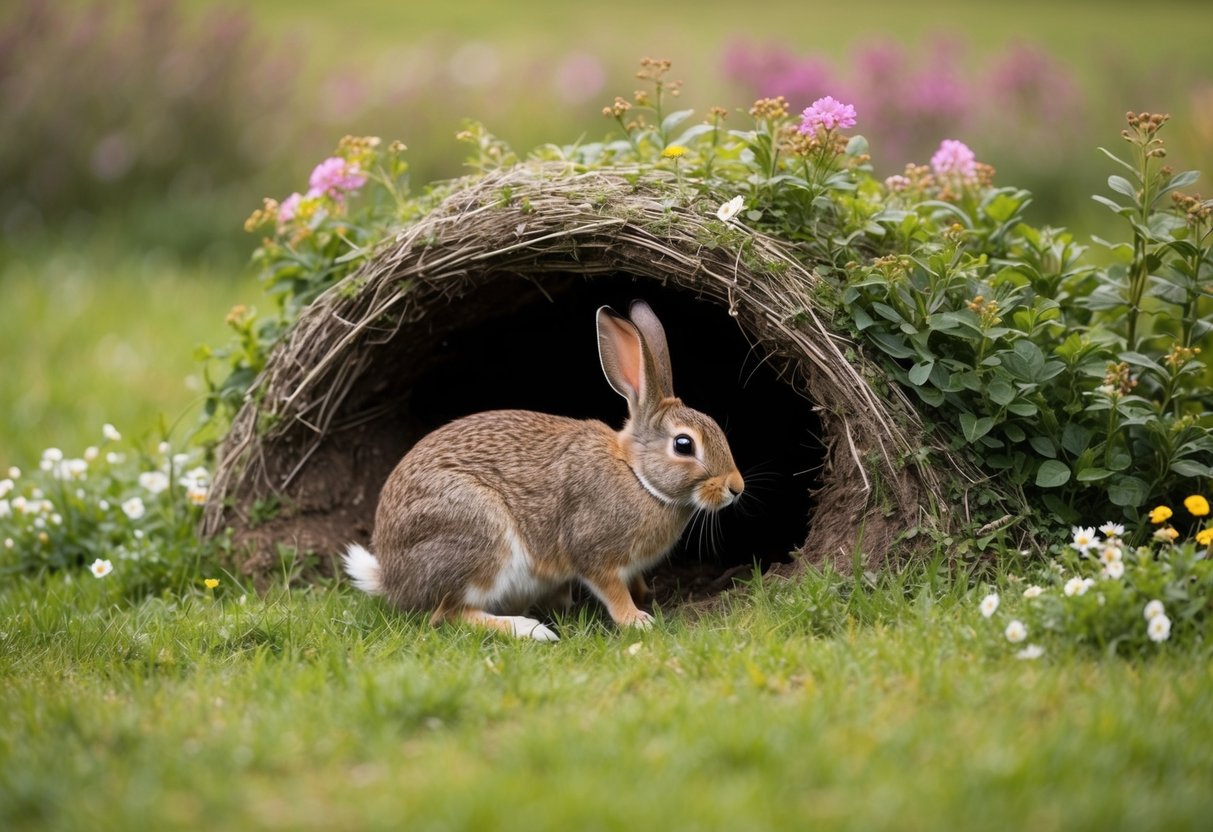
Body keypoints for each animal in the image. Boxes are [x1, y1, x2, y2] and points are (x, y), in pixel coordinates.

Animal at [342, 300, 744, 641]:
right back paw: (531, 630)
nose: (736, 487)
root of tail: (393, 578)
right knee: (447, 615)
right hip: (478, 537)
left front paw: (645, 594)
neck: (637, 476)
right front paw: (636, 620)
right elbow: (610, 588)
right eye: (684, 445)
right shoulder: (593, 549)